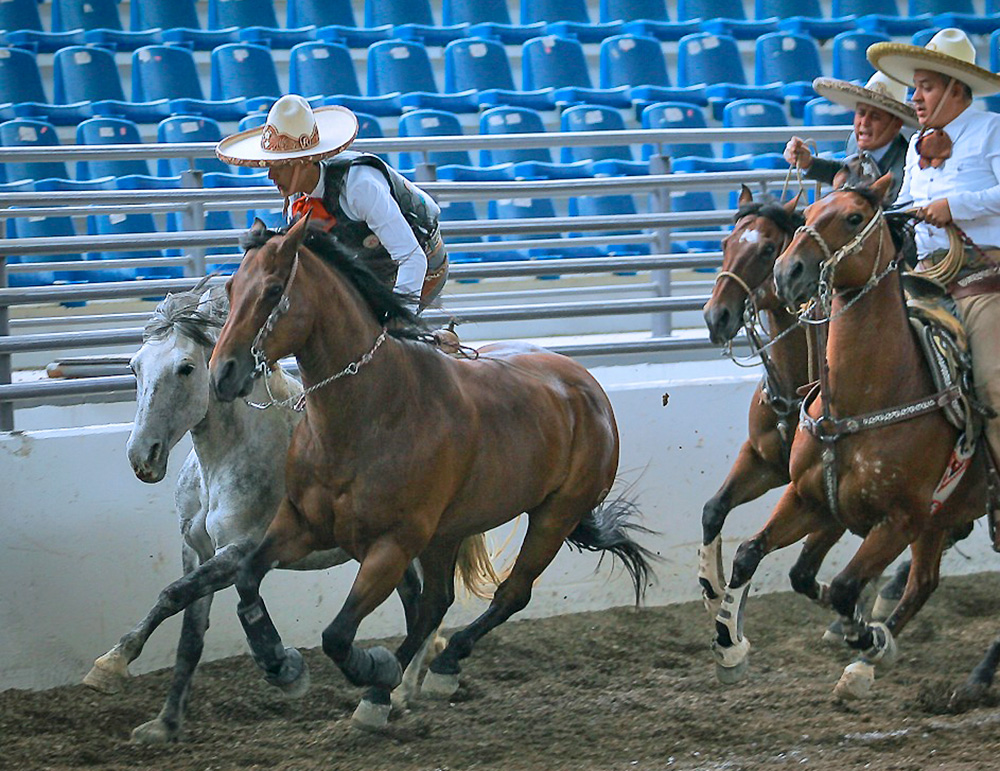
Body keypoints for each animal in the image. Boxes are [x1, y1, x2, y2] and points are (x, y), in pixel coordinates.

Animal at [207, 216, 652, 724]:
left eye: (274, 289)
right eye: (231, 286)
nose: (222, 373)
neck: (369, 413)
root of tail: (589, 390)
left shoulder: (392, 544)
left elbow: (338, 635)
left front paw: (373, 669)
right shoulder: (302, 524)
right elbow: (247, 576)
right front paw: (278, 663)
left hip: (554, 515)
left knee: (510, 593)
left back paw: (430, 670)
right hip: (447, 532)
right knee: (437, 601)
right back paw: (393, 688)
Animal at [712, 173, 984, 700]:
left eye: (855, 218)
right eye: (726, 243)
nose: (717, 316)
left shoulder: (897, 517)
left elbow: (837, 584)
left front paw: (859, 628)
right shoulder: (789, 481)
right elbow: (748, 543)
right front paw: (729, 640)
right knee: (924, 580)